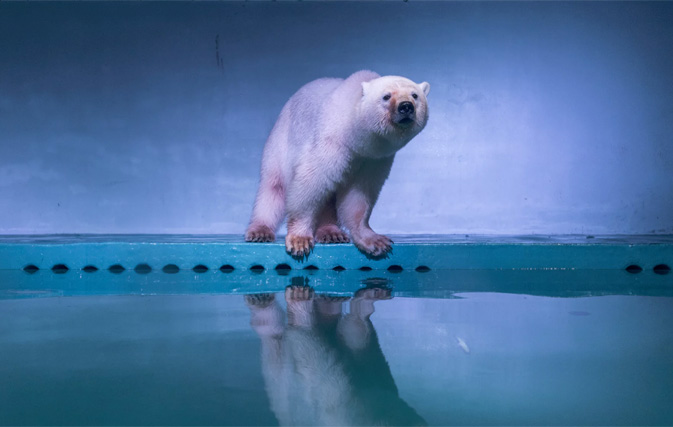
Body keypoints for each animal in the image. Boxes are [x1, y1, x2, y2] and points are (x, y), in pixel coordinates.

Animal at [244, 71, 428, 258]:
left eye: (415, 95)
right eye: (386, 96)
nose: (406, 107)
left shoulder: (373, 159)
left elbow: (359, 195)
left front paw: (374, 241)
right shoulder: (332, 141)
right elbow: (310, 182)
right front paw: (299, 239)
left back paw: (331, 232)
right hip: (280, 144)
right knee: (274, 187)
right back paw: (260, 230)